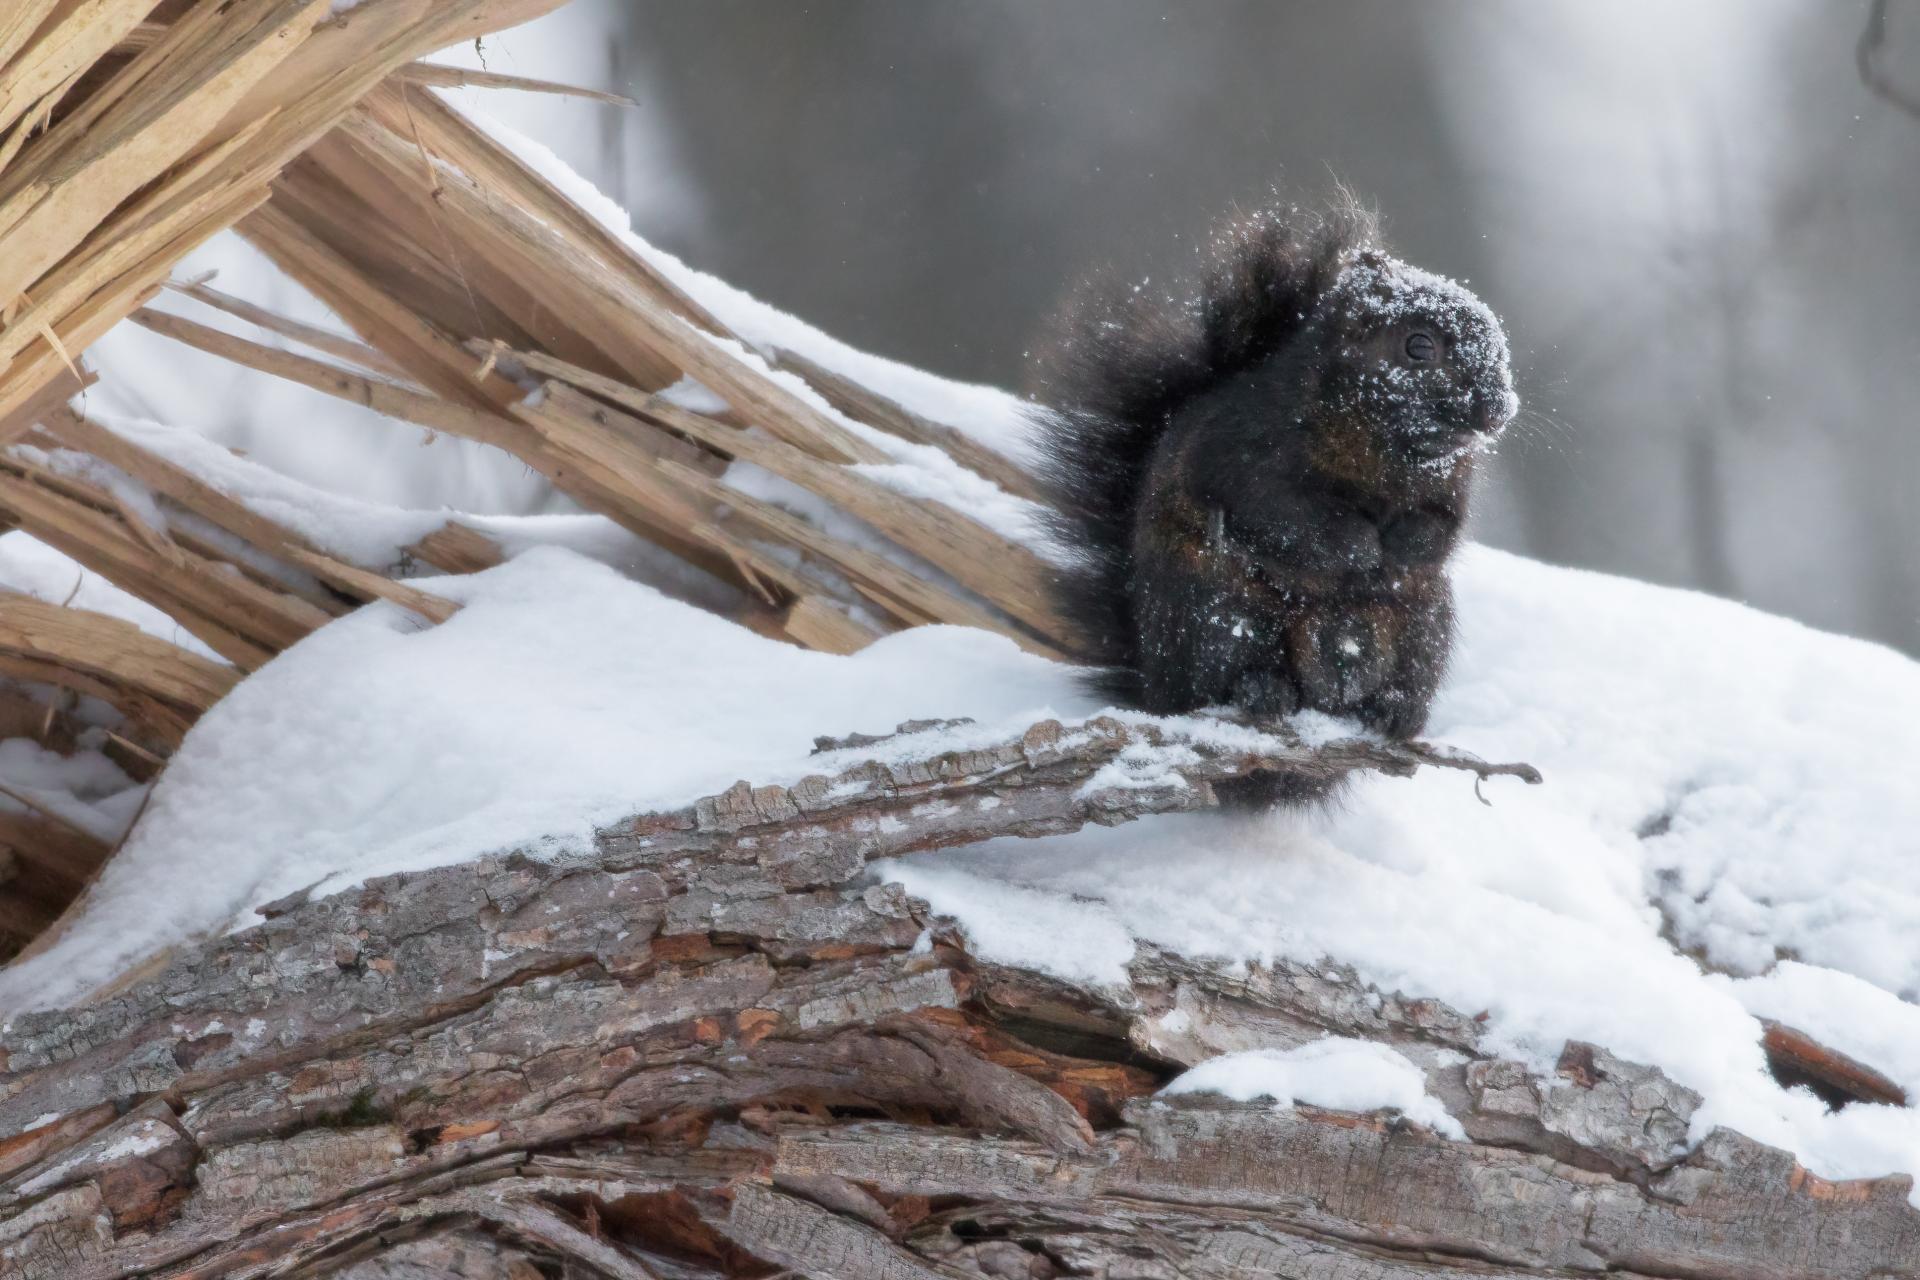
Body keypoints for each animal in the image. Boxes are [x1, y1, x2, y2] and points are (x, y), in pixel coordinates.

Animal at [1031, 200, 1518, 750]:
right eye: (1418, 346)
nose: (1498, 410)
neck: (1383, 450)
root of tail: (1158, 683)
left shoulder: (1451, 483)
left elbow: (1443, 526)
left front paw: (1402, 549)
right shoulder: (1241, 455)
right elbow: (1285, 515)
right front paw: (1362, 549)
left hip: (1422, 624)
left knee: (1402, 674)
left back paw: (1396, 710)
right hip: (1217, 612)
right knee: (1220, 677)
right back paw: (1263, 690)